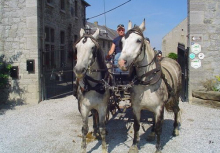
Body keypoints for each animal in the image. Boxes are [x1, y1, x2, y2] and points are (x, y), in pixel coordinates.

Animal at [118, 19, 182, 152]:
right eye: (122, 41)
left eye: (138, 40)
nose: (121, 63)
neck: (146, 82)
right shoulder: (136, 107)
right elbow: (137, 126)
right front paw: (134, 146)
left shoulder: (159, 108)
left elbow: (159, 128)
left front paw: (158, 148)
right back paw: (151, 134)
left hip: (175, 97)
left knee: (176, 110)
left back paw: (175, 130)